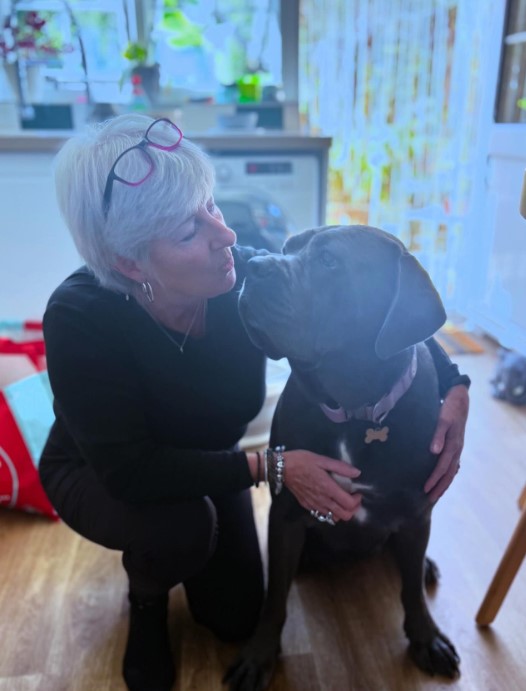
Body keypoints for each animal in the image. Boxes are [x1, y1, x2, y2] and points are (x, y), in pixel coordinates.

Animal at [227, 224, 462, 688]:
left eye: (329, 262)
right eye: (287, 249)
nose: (254, 265)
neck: (355, 410)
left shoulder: (416, 513)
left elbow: (410, 588)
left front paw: (426, 638)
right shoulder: (287, 512)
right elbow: (275, 595)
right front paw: (259, 655)